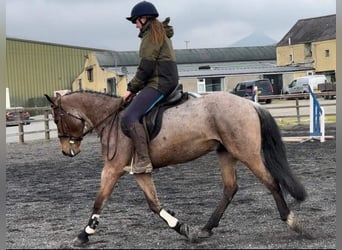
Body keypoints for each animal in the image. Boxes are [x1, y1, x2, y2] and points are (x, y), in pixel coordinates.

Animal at [44, 89, 308, 246]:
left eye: (57, 118)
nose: (66, 151)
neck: (111, 120)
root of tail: (250, 104)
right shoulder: (140, 171)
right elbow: (154, 204)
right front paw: (182, 228)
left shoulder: (112, 168)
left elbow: (99, 201)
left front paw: (83, 235)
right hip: (226, 153)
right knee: (230, 188)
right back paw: (205, 229)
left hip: (246, 153)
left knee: (271, 182)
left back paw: (293, 222)